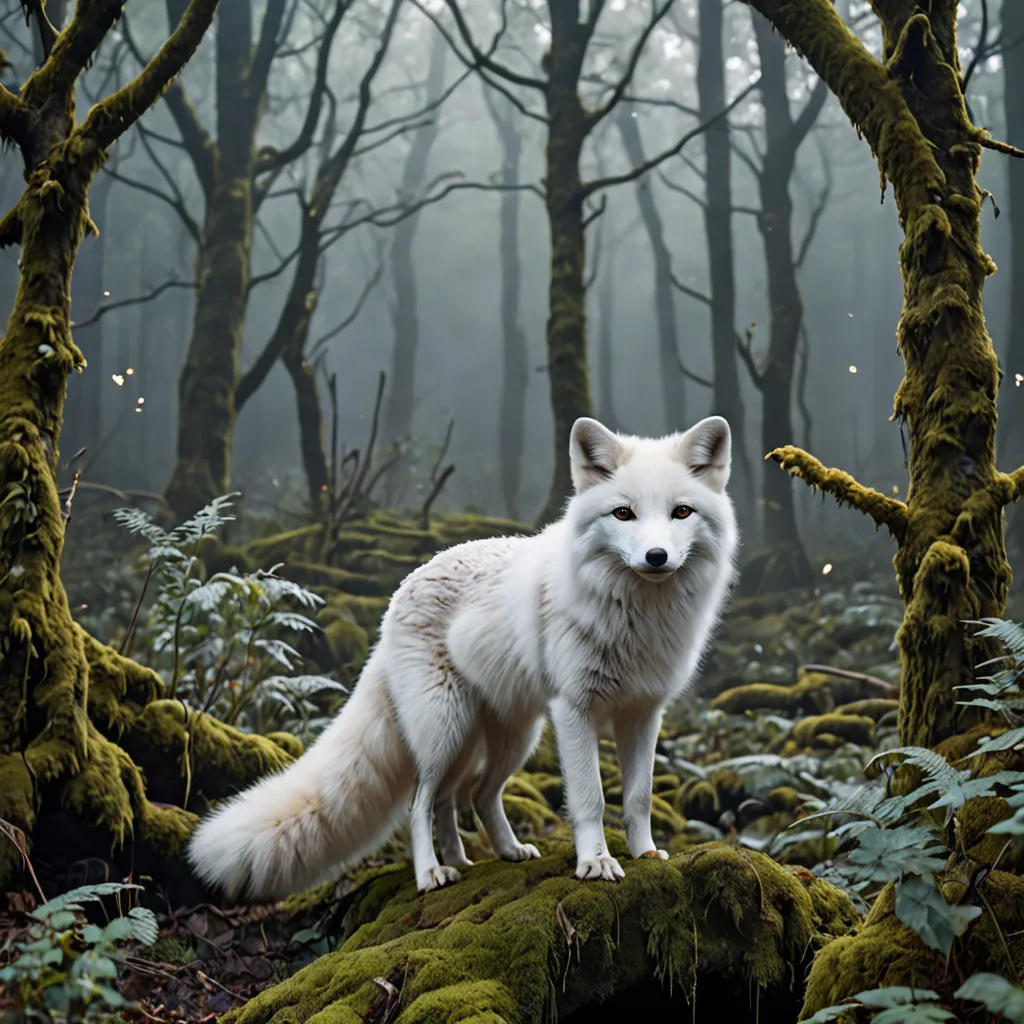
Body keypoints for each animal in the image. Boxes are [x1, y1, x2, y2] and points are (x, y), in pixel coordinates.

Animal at [188, 415, 738, 897]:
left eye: (681, 512)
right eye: (624, 513)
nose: (656, 558)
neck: (638, 618)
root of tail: (392, 606)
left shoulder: (643, 714)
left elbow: (640, 796)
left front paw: (646, 853)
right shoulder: (575, 710)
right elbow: (591, 798)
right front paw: (596, 862)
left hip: (507, 736)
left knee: (467, 796)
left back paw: (490, 854)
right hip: (446, 729)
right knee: (421, 801)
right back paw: (432, 873)